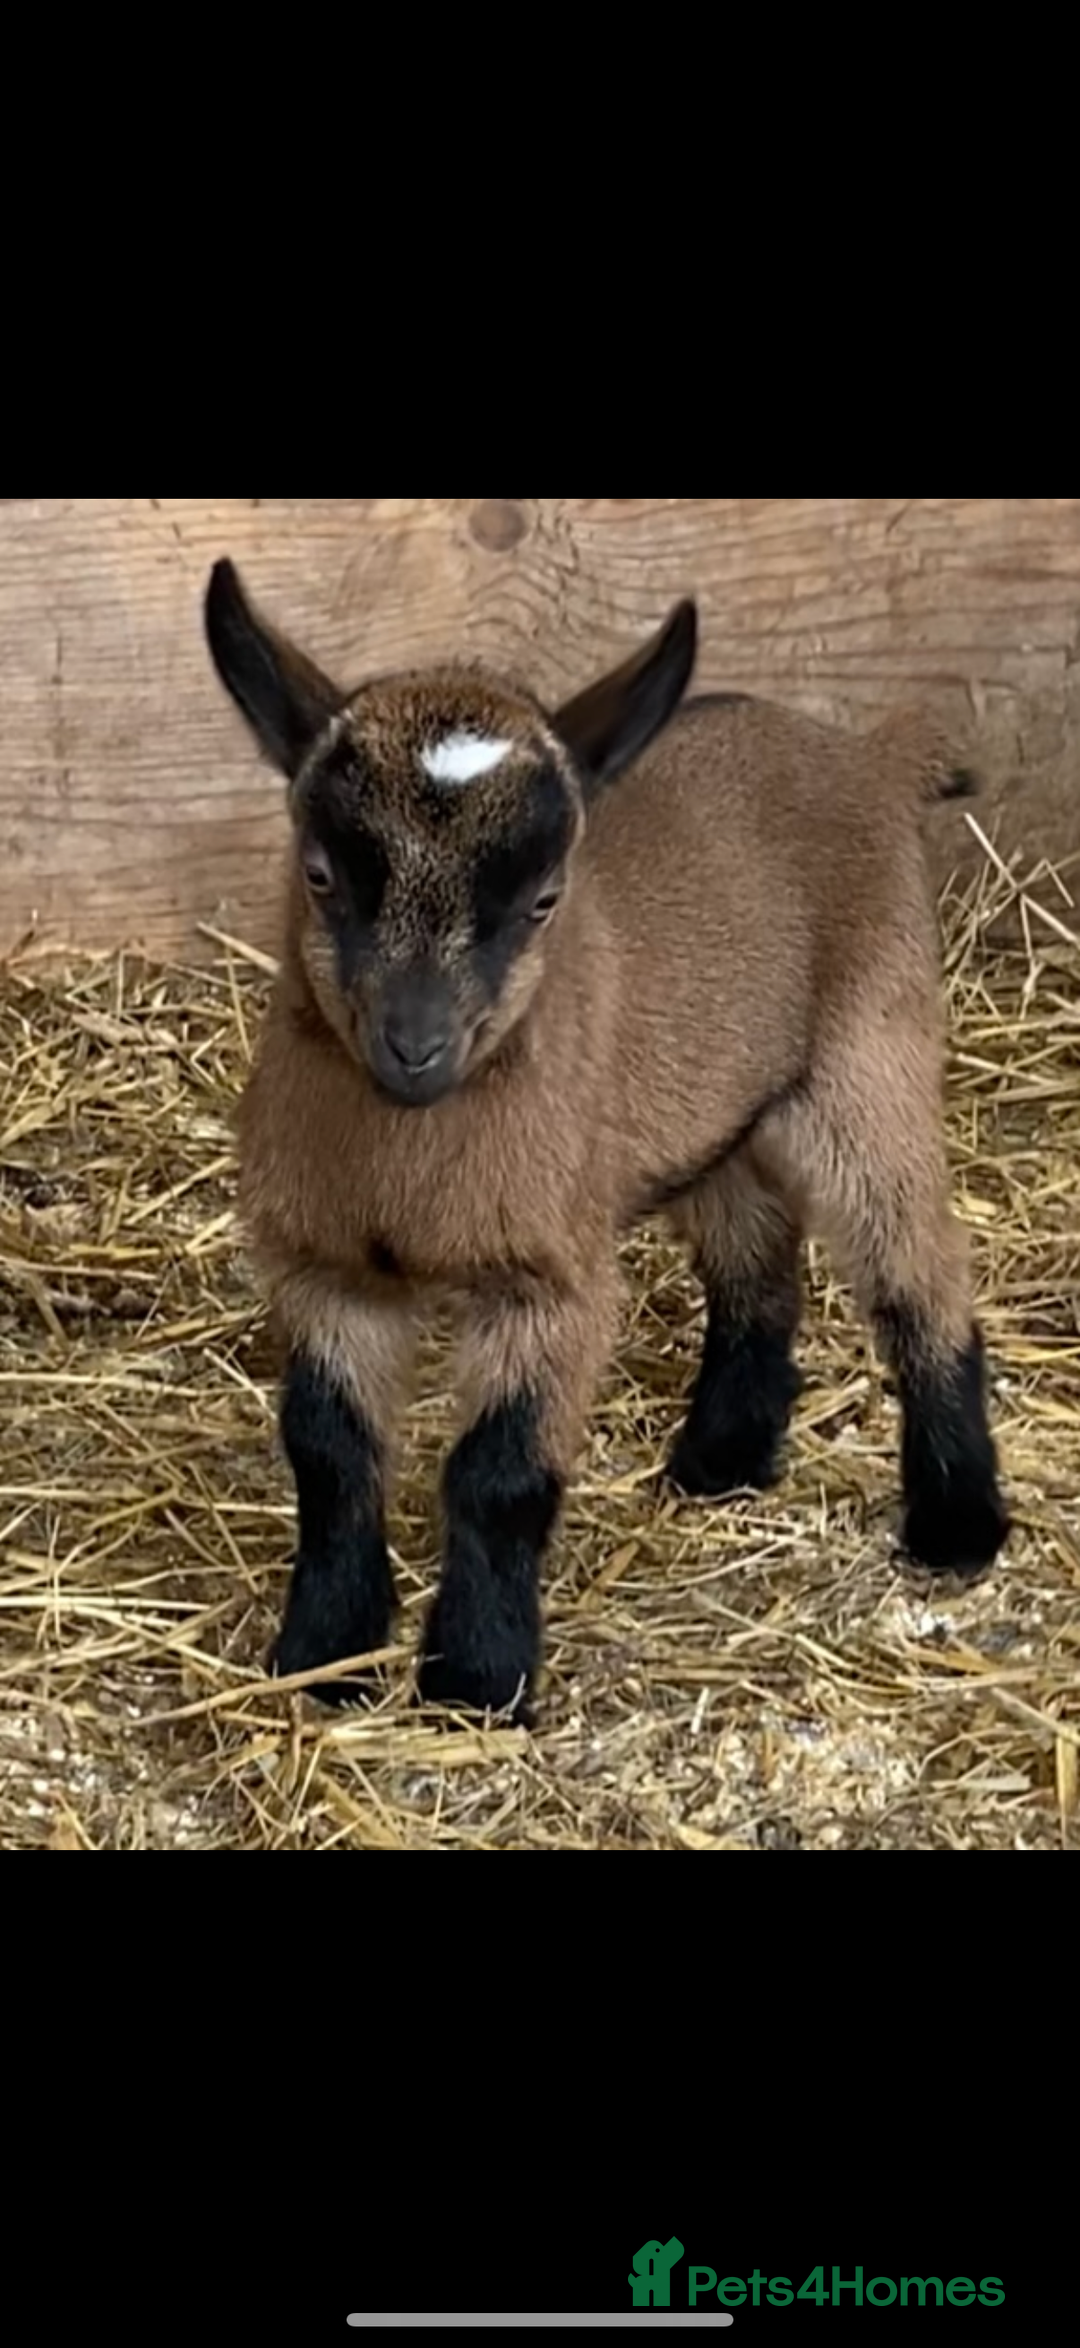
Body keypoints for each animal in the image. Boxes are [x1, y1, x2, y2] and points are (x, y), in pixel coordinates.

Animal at [204, 559, 1009, 1724]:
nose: (416, 1046)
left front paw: (477, 1679)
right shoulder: (324, 1264)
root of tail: (863, 755)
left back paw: (957, 1523)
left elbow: (497, 1477)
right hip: (714, 1116)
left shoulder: (549, 1276)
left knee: (920, 1272)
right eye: (320, 875)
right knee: (757, 1258)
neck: (407, 1181)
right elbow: (328, 1455)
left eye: (543, 900)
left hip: (869, 1058)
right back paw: (723, 1456)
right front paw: (326, 1650)